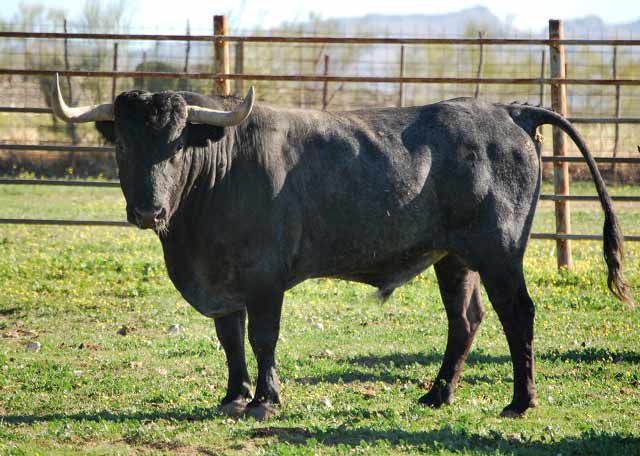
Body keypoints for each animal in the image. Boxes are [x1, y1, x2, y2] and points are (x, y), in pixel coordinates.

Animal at [51, 84, 632, 420]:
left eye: (176, 144)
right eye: (124, 144)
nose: (147, 210)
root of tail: (508, 111)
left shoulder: (264, 277)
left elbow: (262, 338)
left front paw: (264, 399)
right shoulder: (222, 281)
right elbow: (230, 339)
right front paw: (234, 394)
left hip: (500, 252)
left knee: (518, 315)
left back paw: (520, 401)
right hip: (455, 257)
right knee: (465, 320)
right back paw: (437, 394)